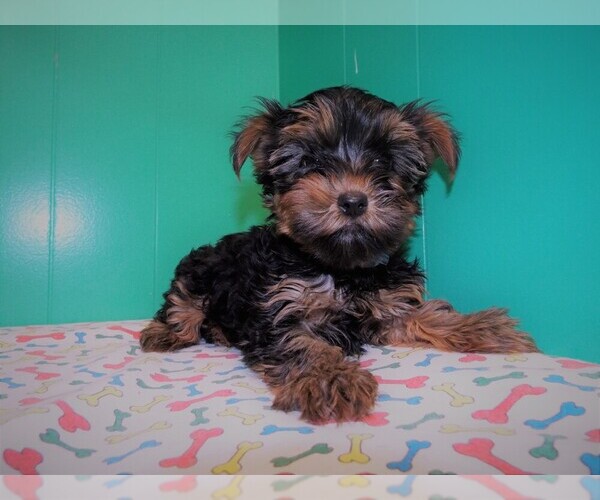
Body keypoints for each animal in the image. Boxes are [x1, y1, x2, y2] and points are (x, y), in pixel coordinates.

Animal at [141, 88, 540, 424]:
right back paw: (166, 332)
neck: (342, 268)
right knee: (182, 300)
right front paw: (330, 378)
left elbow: (423, 314)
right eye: (310, 161)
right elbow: (301, 344)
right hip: (202, 265)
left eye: (383, 161)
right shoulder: (280, 309)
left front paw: (480, 327)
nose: (353, 200)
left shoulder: (386, 304)